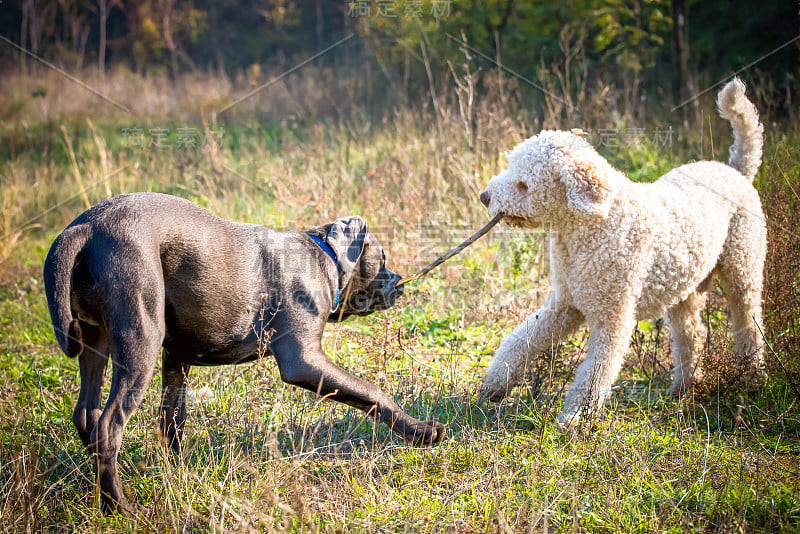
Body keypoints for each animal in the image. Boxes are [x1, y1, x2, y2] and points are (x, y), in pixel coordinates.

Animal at [43, 194, 446, 516]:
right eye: (382, 257)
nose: (399, 283)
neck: (324, 256)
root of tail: (85, 228)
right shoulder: (303, 360)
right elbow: (372, 393)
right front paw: (422, 432)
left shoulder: (176, 359)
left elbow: (172, 421)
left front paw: (178, 476)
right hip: (139, 339)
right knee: (107, 427)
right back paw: (119, 508)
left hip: (96, 342)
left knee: (86, 414)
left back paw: (96, 490)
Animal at [478, 78, 764, 422]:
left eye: (523, 184)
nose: (484, 196)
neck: (590, 227)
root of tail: (736, 170)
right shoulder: (564, 303)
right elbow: (522, 340)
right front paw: (495, 385)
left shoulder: (612, 317)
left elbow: (595, 373)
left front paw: (575, 419)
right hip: (684, 289)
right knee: (693, 334)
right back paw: (682, 388)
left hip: (743, 270)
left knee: (749, 326)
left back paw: (752, 377)